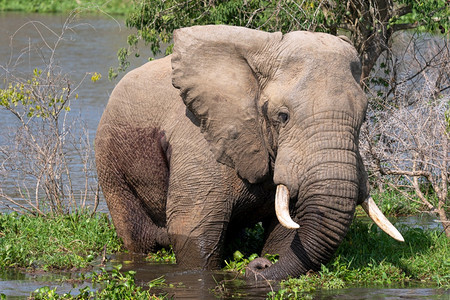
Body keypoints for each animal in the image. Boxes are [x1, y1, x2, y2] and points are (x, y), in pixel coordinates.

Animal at [96, 24, 404, 280]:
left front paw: (272, 258)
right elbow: (194, 228)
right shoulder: (198, 137)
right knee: (138, 237)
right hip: (111, 161)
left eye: (363, 117)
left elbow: (286, 228)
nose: (259, 265)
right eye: (282, 116)